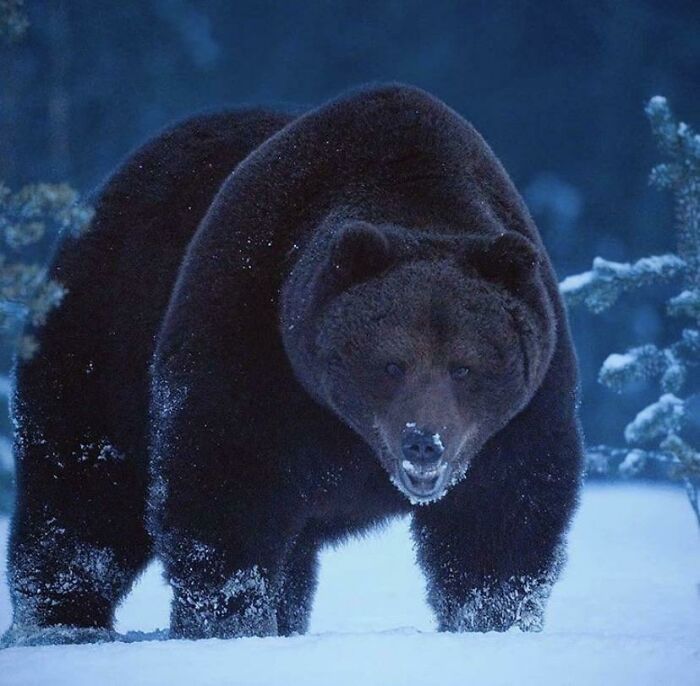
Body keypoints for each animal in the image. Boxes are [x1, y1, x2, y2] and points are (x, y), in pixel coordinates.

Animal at [4, 84, 583, 645]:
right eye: (392, 364)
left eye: (464, 366)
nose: (424, 441)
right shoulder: (251, 331)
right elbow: (223, 486)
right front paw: (230, 624)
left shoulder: (522, 408)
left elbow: (501, 518)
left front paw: (493, 624)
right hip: (106, 331)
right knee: (84, 492)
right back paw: (62, 624)